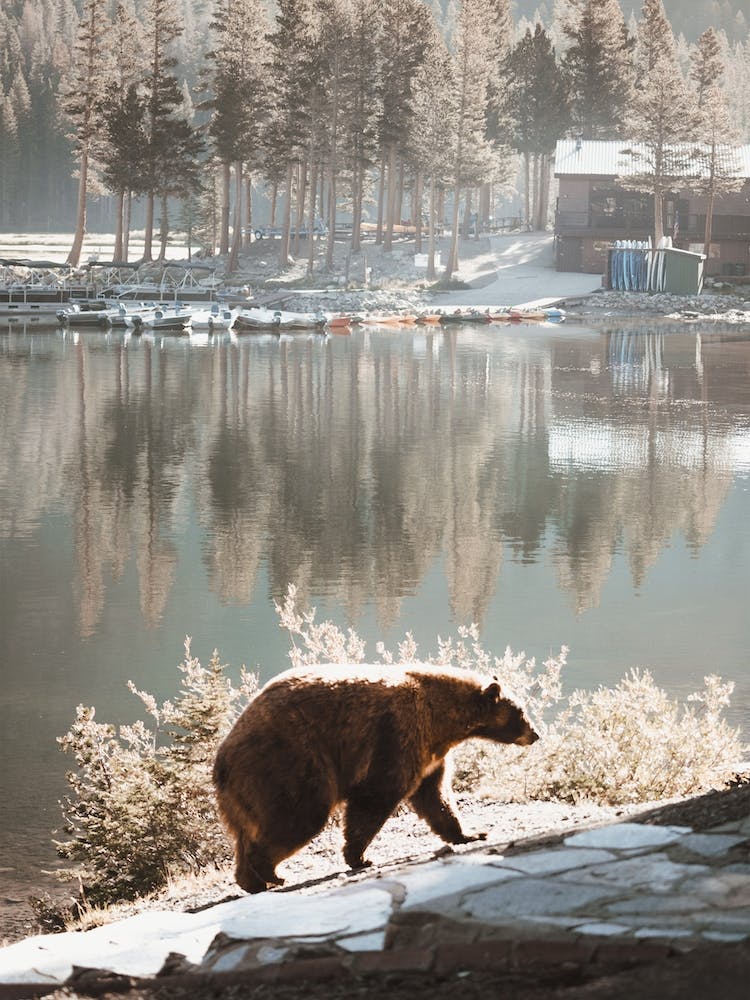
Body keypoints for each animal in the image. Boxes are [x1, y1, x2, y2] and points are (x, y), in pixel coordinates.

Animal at [212, 663, 539, 893]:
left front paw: (471, 833)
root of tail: (222, 762)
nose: (535, 734)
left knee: (247, 833)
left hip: (248, 791)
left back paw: (251, 880)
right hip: (290, 763)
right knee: (299, 817)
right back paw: (272, 872)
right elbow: (378, 794)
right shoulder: (397, 734)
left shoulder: (431, 755)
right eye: (521, 711)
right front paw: (359, 856)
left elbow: (436, 797)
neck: (442, 720)